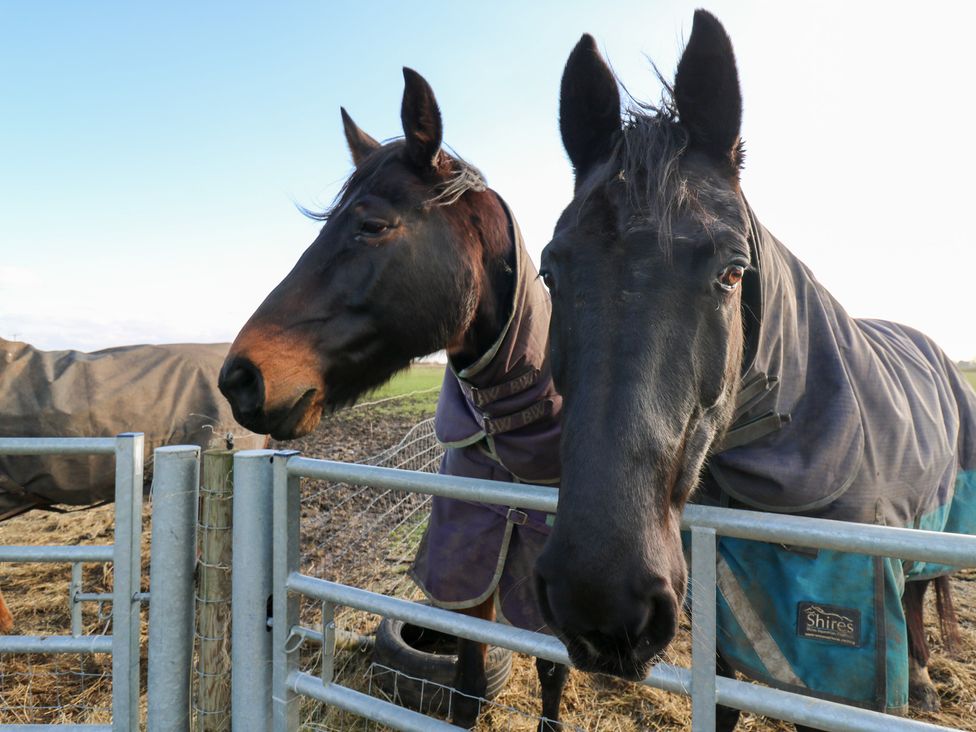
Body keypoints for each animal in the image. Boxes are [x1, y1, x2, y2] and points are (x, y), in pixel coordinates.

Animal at [535, 10, 973, 728]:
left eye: (732, 272)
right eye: (550, 271)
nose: (600, 598)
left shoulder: (836, 656)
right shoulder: (720, 622)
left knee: (919, 590)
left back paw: (924, 679)